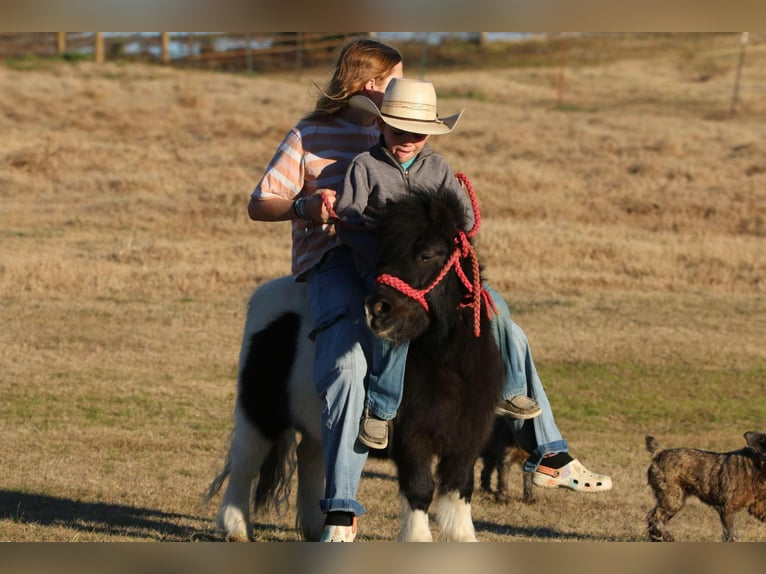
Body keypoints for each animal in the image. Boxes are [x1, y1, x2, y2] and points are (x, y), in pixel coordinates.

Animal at [207, 181, 504, 544]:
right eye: (382, 255)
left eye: (427, 254)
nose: (378, 310)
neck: (447, 365)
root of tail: (262, 298)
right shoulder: (413, 436)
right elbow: (420, 486)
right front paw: (418, 538)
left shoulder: (468, 435)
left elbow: (459, 487)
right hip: (259, 410)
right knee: (245, 462)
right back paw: (236, 527)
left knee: (312, 459)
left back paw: (316, 528)